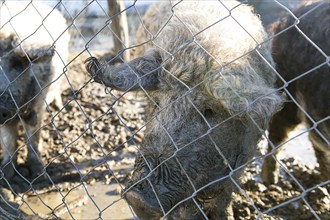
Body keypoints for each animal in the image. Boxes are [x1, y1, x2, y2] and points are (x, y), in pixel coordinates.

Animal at [0, 1, 69, 179]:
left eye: (17, 64)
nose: (1, 108)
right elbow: (8, 140)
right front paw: (6, 175)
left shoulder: (37, 104)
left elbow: (33, 137)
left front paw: (38, 174)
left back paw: (59, 105)